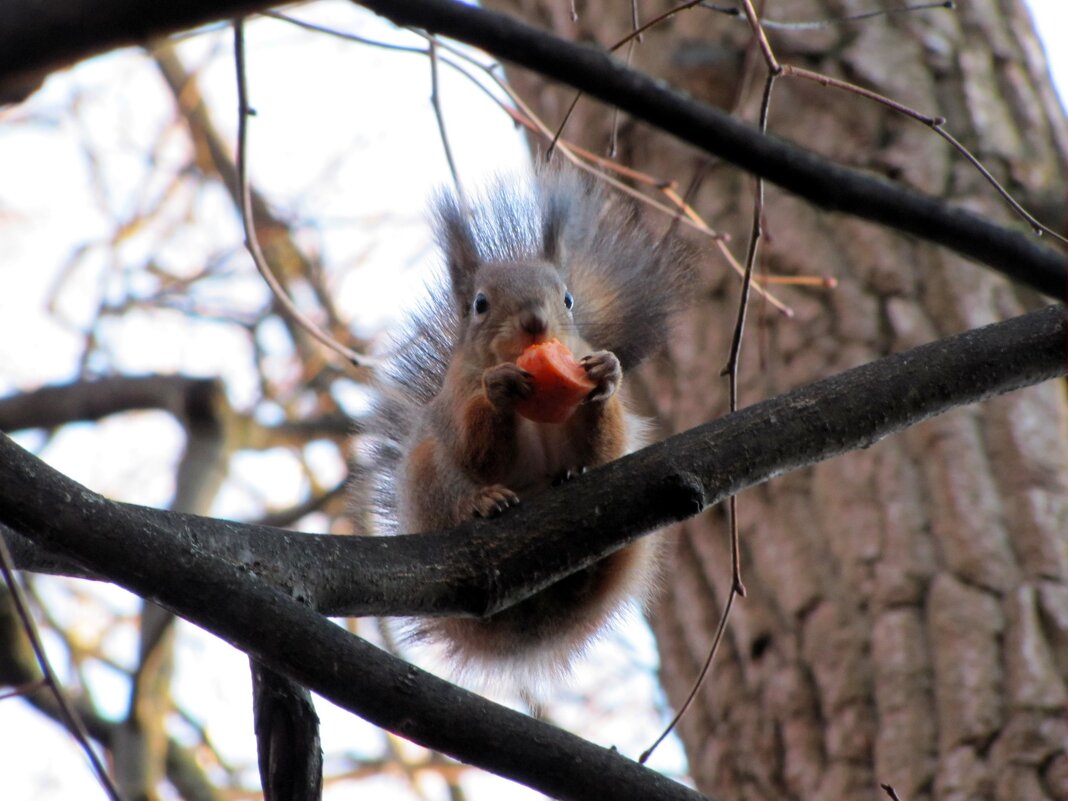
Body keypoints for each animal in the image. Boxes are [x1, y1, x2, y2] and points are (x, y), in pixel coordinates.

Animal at [352, 164, 700, 692]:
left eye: (568, 298)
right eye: (480, 303)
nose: (536, 321)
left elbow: (604, 448)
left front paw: (606, 375)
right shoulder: (454, 403)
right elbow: (475, 451)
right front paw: (500, 388)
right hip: (428, 478)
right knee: (453, 491)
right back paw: (483, 502)